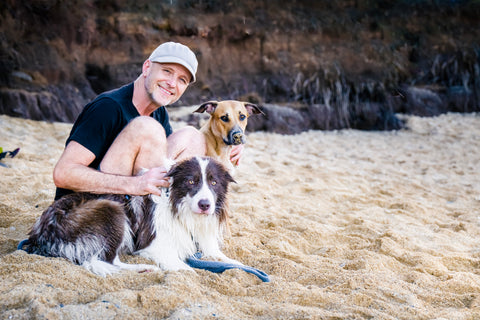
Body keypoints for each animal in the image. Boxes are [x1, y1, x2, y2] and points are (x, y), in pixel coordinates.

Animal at [22, 156, 240, 276]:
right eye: (191, 181)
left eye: (213, 183)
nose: (205, 205)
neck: (178, 205)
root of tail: (40, 236)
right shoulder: (153, 243)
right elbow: (180, 264)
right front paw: (187, 271)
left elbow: (224, 257)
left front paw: (238, 264)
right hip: (112, 209)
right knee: (108, 260)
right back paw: (142, 268)